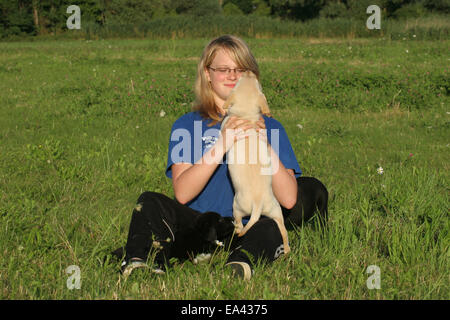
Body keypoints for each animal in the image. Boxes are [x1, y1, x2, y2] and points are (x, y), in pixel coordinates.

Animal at [221, 71, 290, 254]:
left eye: (238, 80)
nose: (248, 71)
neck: (247, 117)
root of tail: (258, 203)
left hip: (237, 207)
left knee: (239, 222)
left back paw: (237, 229)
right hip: (276, 209)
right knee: (283, 230)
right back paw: (287, 250)